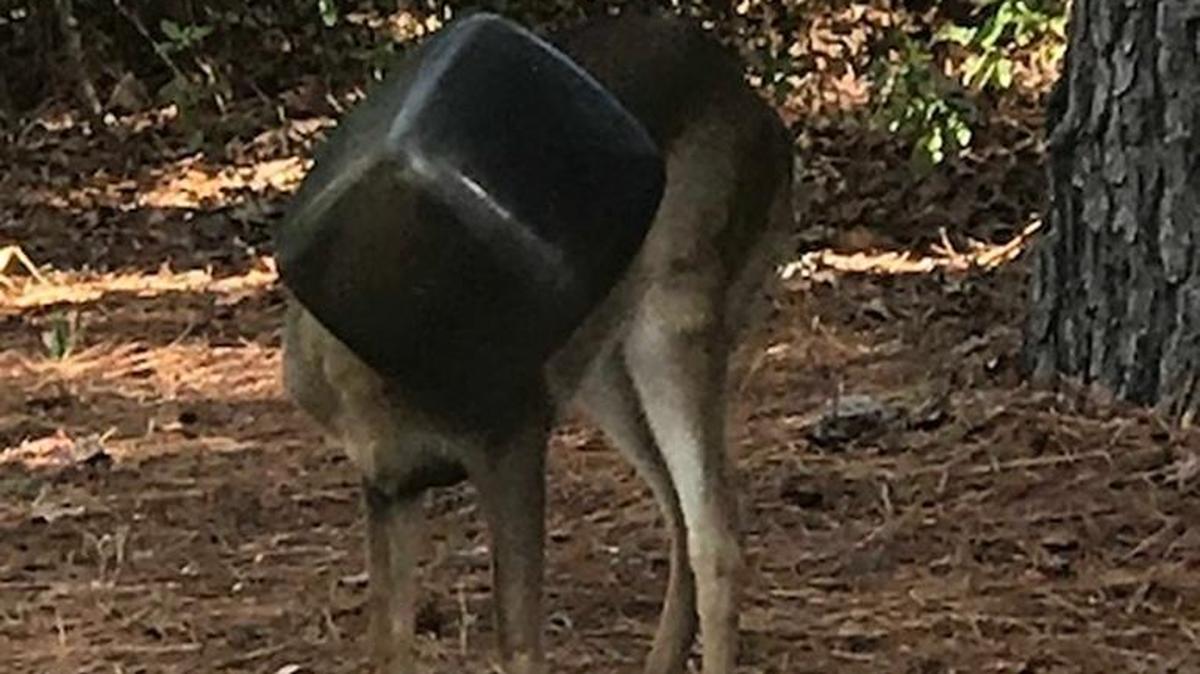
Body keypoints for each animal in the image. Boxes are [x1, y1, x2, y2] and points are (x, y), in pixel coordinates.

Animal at [279, 10, 794, 674]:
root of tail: (771, 124)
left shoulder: (513, 439)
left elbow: (519, 644)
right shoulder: (388, 479)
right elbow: (388, 643)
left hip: (679, 309)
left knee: (716, 533)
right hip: (603, 369)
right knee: (680, 514)